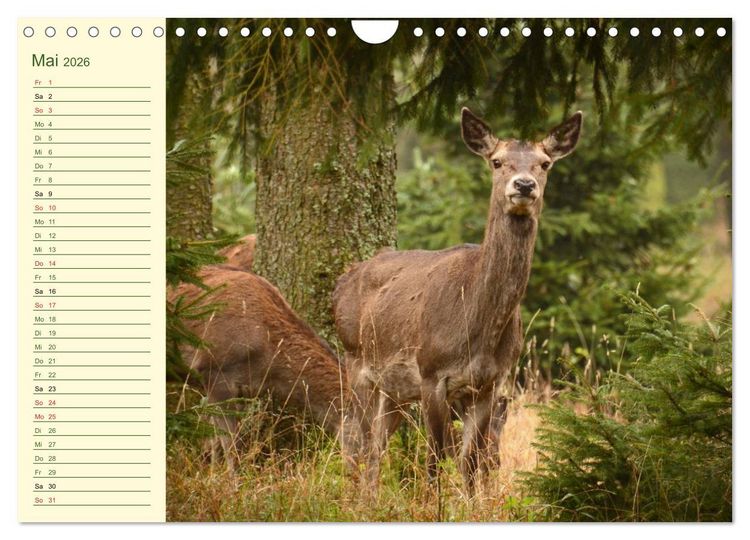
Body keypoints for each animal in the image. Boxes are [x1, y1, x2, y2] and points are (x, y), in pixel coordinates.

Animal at [332, 107, 582, 494]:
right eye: (497, 161)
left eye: (545, 163)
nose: (524, 185)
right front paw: (431, 504)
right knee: (355, 443)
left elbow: (471, 463)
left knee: (374, 450)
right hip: (356, 360)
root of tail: (342, 283)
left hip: (394, 390)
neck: (479, 329)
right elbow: (434, 460)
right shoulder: (432, 374)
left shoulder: (489, 383)